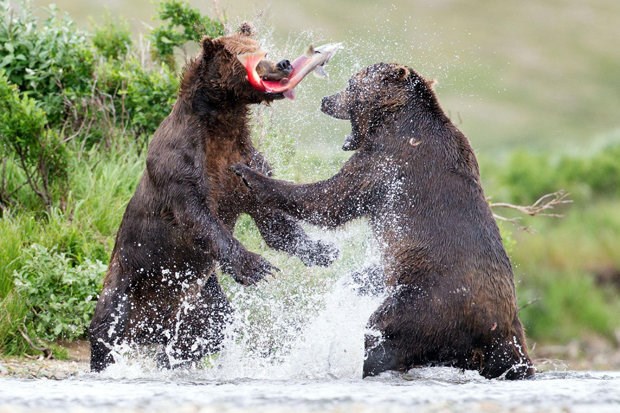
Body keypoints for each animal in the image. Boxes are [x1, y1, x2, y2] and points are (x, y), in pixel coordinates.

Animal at [87, 26, 336, 374]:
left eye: (264, 49)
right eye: (247, 54)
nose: (284, 63)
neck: (221, 126)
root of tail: (149, 325)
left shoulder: (244, 166)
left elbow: (272, 220)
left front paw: (322, 249)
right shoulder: (180, 167)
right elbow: (198, 216)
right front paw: (255, 266)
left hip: (200, 297)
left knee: (214, 327)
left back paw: (169, 358)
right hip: (128, 279)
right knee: (106, 328)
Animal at [235, 62, 536, 380]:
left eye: (350, 83)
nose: (326, 100)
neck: (392, 120)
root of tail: (497, 328)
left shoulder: (388, 162)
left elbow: (330, 200)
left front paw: (249, 173)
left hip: (429, 301)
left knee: (383, 331)